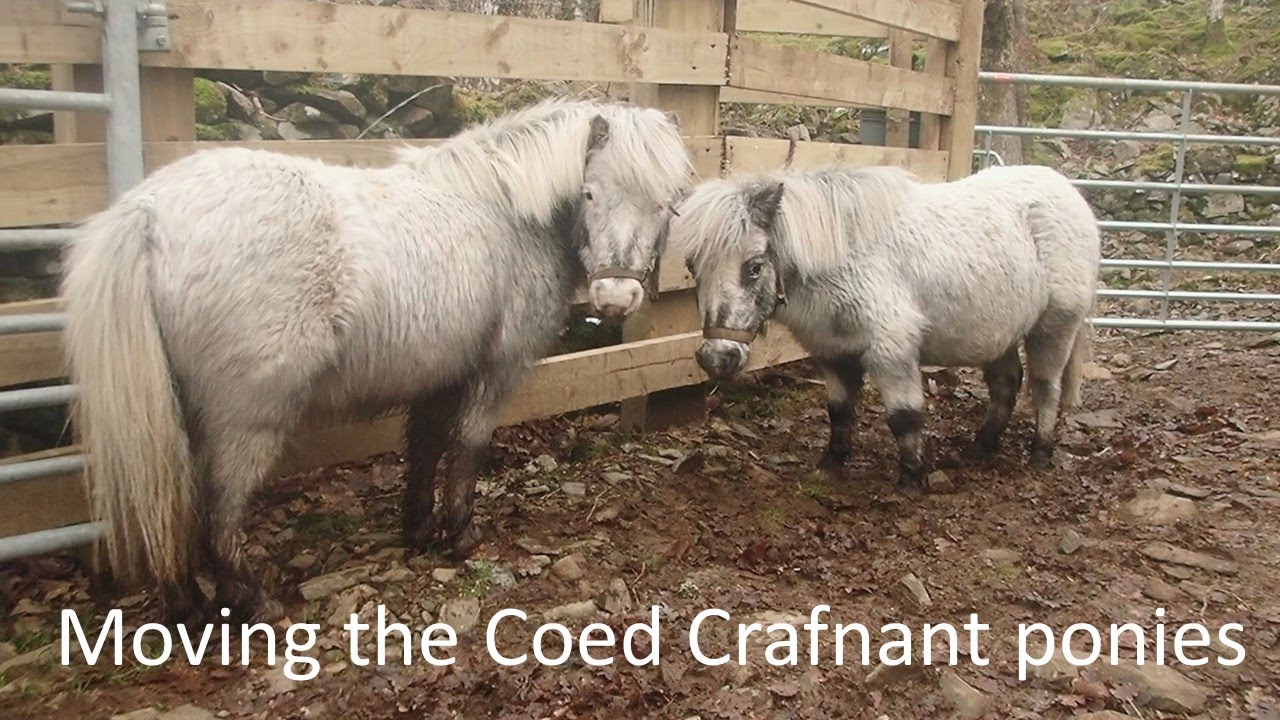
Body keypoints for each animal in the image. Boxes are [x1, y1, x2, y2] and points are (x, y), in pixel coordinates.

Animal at [61, 97, 693, 623]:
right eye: (589, 194)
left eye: (665, 204)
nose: (616, 297)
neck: (507, 211)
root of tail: (148, 212)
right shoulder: (494, 372)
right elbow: (467, 444)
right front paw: (460, 533)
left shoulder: (440, 374)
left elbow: (426, 446)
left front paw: (418, 528)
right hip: (245, 419)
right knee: (217, 511)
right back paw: (254, 600)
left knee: (170, 504)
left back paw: (186, 603)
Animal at [669, 164, 1100, 489]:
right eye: (693, 267)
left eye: (755, 266)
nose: (717, 357)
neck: (842, 257)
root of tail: (1069, 192)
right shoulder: (833, 351)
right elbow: (840, 411)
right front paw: (831, 465)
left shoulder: (891, 352)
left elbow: (904, 417)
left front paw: (912, 480)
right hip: (998, 333)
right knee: (1007, 383)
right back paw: (981, 446)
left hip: (1054, 327)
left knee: (1046, 387)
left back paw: (1040, 453)